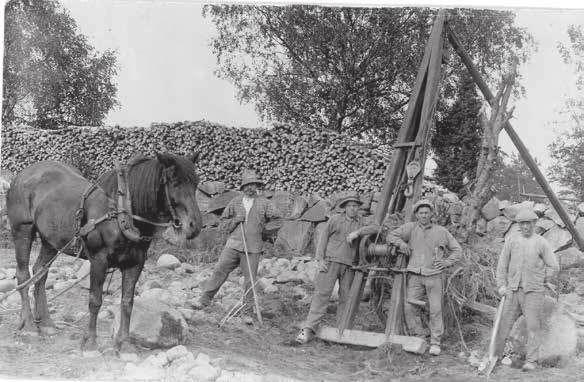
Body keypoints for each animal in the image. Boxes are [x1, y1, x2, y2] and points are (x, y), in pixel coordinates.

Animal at [5, 152, 203, 356]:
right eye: (175, 182)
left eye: (196, 183)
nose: (195, 225)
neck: (122, 213)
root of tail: (20, 176)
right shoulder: (99, 261)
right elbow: (95, 301)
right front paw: (91, 342)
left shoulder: (135, 264)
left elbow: (127, 302)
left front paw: (125, 344)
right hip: (22, 231)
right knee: (23, 275)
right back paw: (29, 325)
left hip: (51, 241)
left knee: (40, 273)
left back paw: (46, 323)